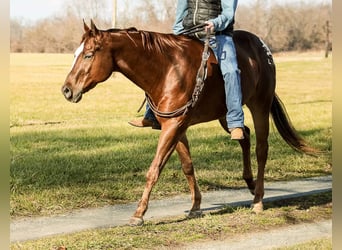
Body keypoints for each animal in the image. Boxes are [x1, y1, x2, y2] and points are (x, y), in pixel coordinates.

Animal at [60, 20, 316, 226]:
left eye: (89, 54)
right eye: (75, 54)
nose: (67, 90)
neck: (166, 71)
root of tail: (262, 49)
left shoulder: (174, 126)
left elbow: (154, 169)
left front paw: (139, 213)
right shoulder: (175, 127)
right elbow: (187, 166)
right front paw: (195, 206)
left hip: (260, 105)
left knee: (261, 148)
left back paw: (258, 200)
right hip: (226, 114)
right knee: (243, 134)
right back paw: (250, 183)